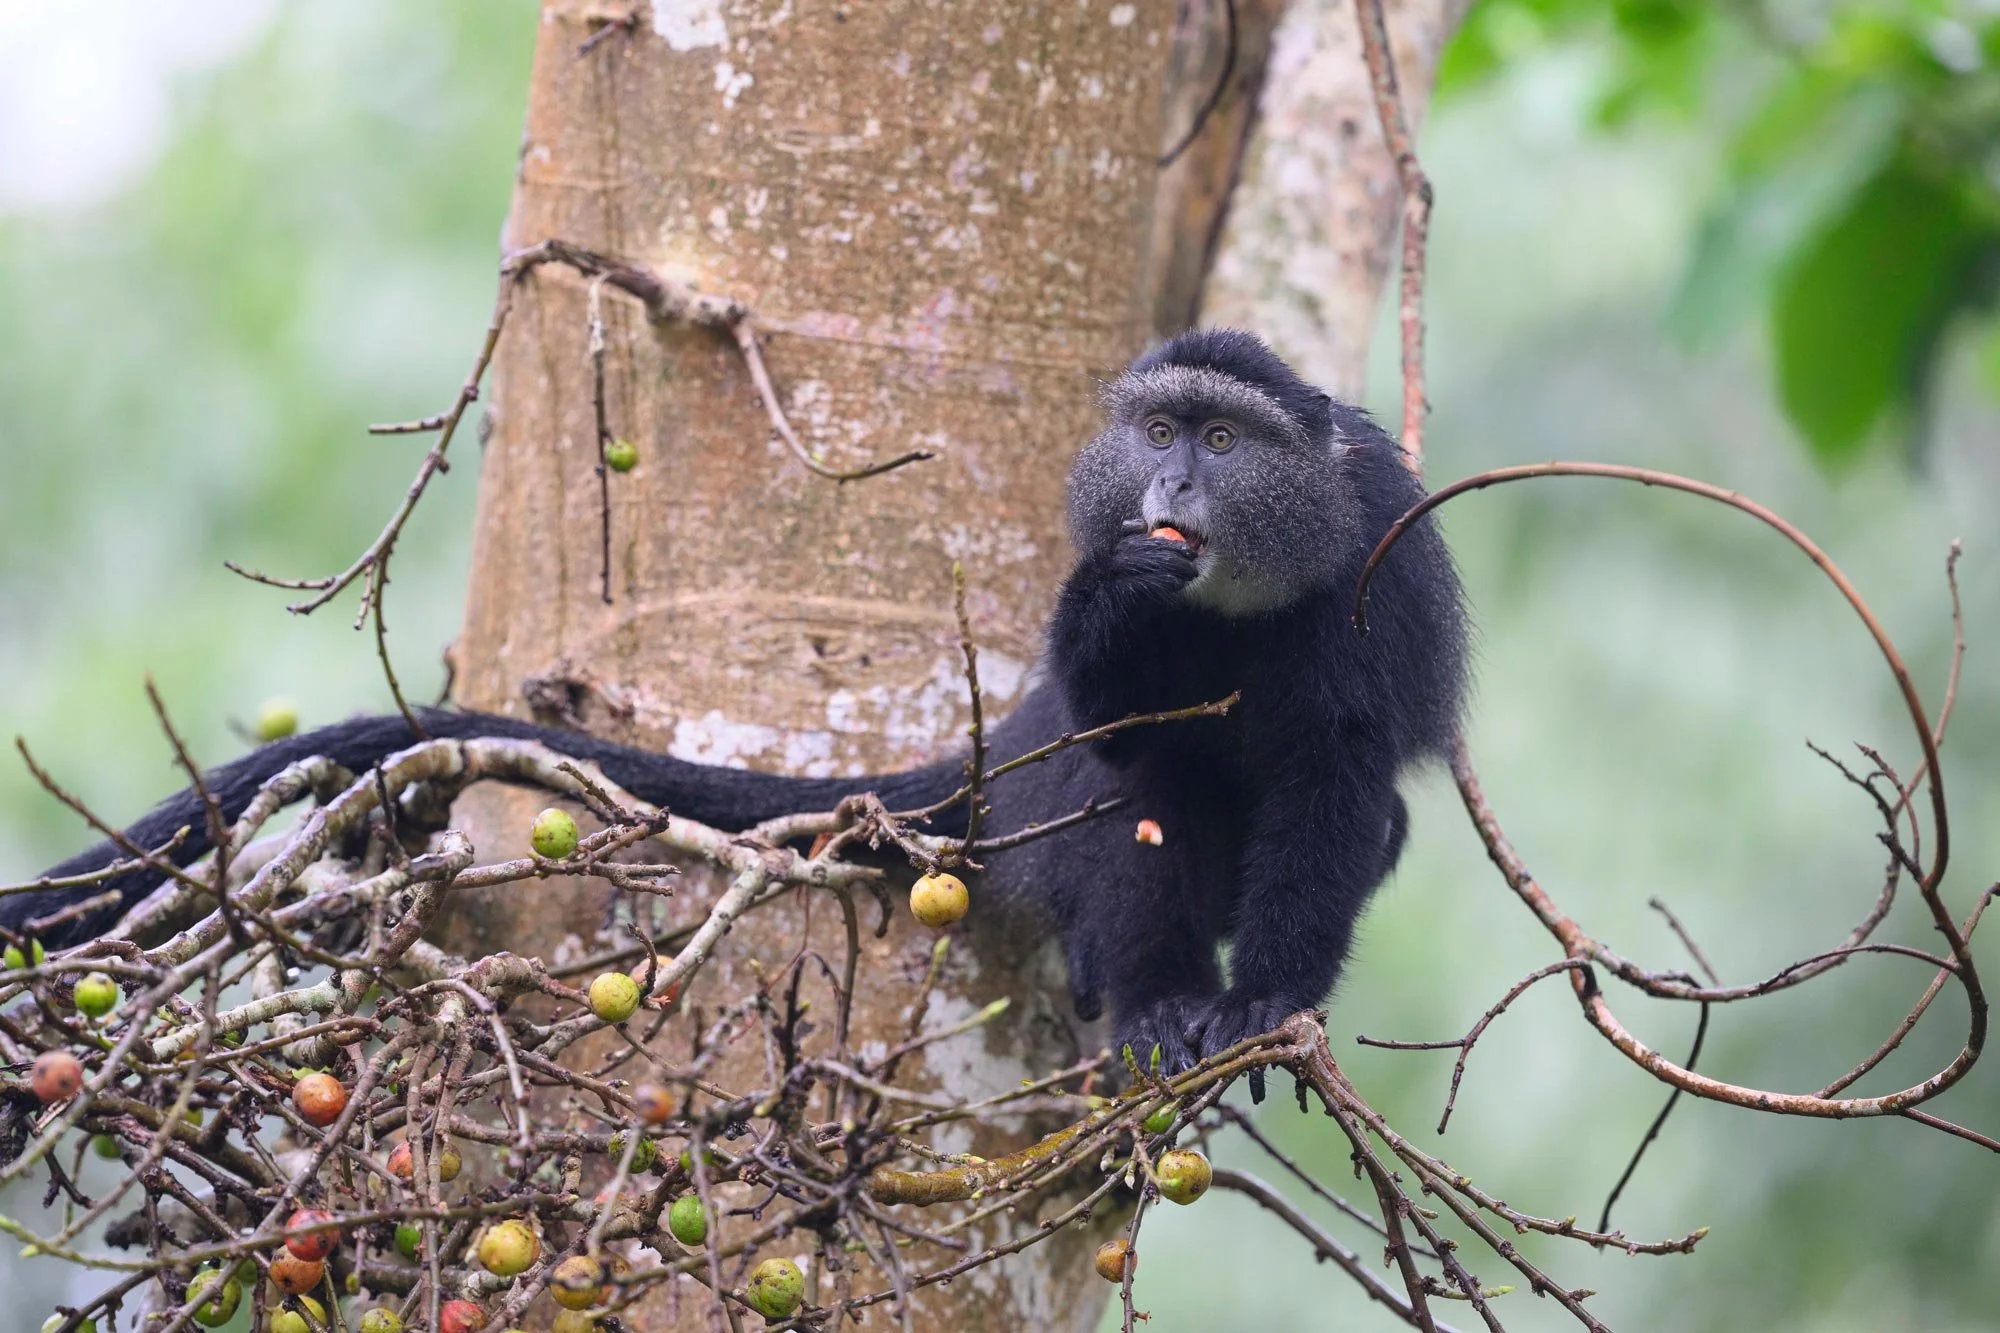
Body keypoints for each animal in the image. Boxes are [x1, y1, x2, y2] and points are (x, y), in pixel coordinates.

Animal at [3, 329, 1465, 1076]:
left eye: (1219, 441)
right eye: (1157, 435)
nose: (1166, 494)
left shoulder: (1379, 566)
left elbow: (1339, 779)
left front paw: (1265, 1003)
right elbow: (1115, 719)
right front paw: (1113, 601)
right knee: (1119, 794)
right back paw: (1152, 996)